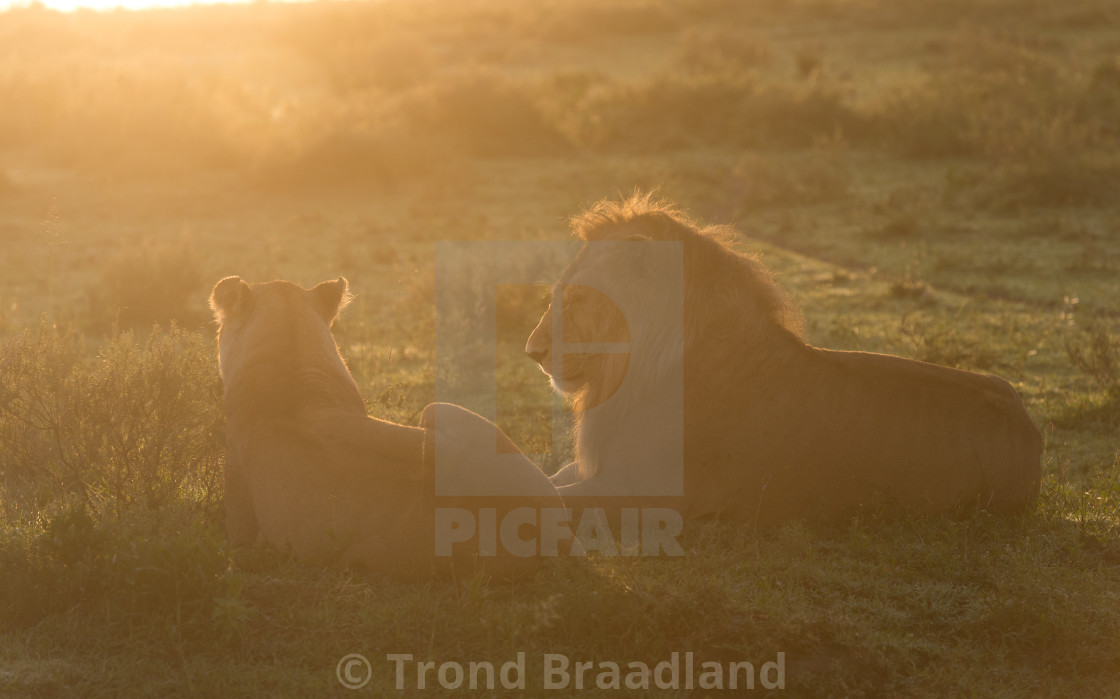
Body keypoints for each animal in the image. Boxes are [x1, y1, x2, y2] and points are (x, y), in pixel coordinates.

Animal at [524, 193, 1039, 522]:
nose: (532, 351)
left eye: (578, 298)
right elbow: (547, 478)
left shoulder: (645, 493)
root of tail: (1028, 422)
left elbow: (553, 500)